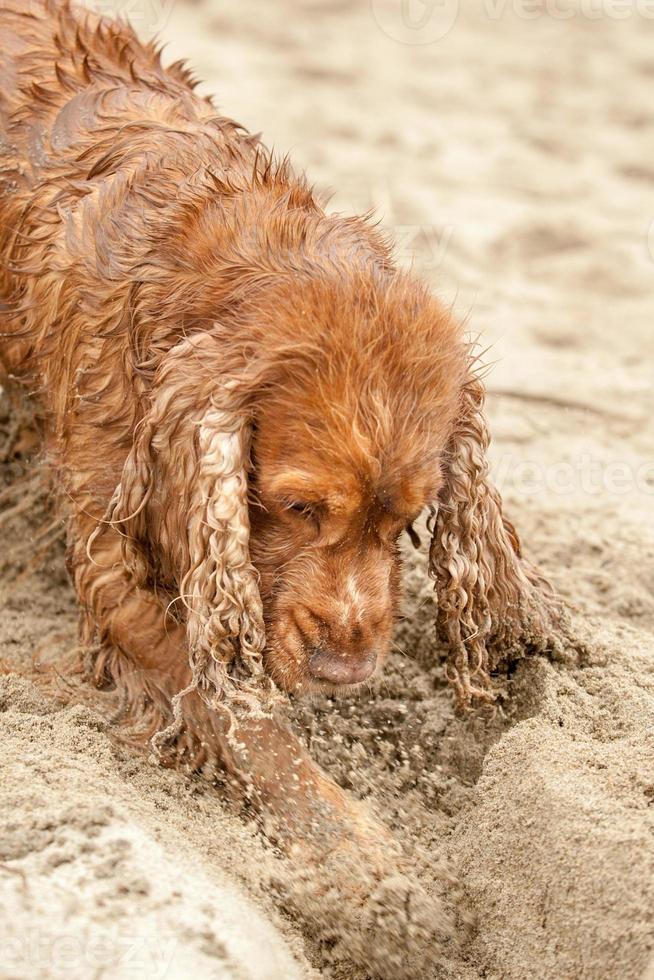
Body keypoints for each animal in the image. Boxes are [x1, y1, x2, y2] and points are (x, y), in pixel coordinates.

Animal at [1, 0, 564, 872]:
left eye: (407, 522)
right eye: (298, 508)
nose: (345, 668)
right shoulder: (111, 546)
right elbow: (236, 709)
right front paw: (354, 857)